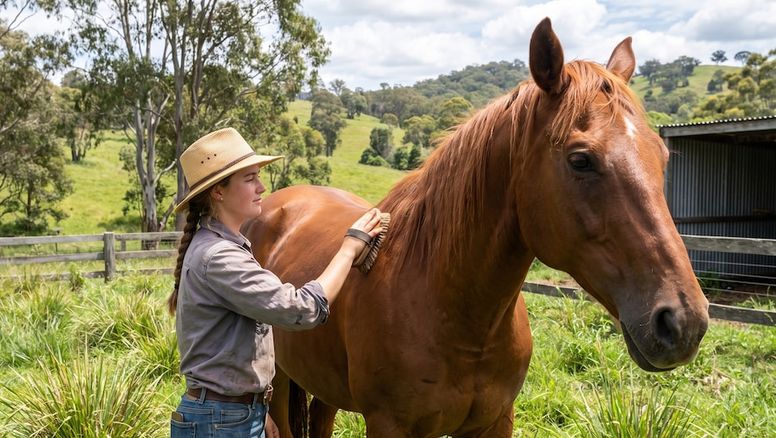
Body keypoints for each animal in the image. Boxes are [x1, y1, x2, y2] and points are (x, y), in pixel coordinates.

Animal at [244, 17, 709, 438]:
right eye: (581, 159)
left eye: (662, 156)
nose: (683, 322)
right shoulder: (389, 425)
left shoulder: (495, 421)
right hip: (279, 384)